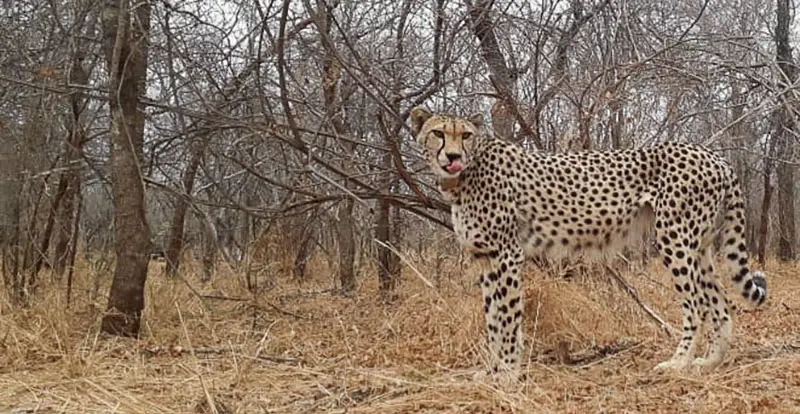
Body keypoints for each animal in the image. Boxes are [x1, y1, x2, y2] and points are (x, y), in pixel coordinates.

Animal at [412, 106, 768, 376]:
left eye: (465, 135)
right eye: (438, 133)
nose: (452, 156)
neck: (463, 176)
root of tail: (713, 155)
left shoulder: (507, 255)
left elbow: (508, 317)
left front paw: (509, 372)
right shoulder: (484, 257)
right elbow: (492, 320)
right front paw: (492, 370)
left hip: (675, 239)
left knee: (696, 304)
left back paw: (678, 363)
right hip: (700, 246)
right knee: (720, 302)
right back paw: (709, 362)